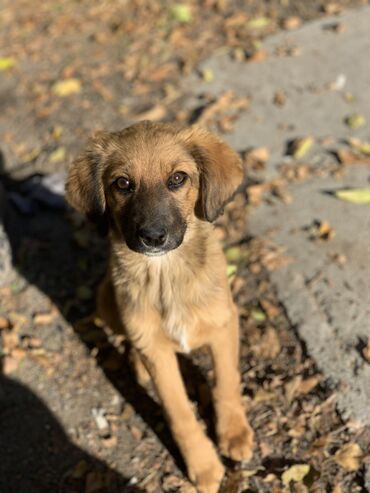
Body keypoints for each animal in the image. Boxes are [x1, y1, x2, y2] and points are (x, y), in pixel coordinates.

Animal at [65, 120, 253, 492]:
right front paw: (203, 464)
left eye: (178, 178)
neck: (166, 275)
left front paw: (234, 433)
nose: (153, 237)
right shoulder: (158, 352)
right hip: (106, 298)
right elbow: (179, 412)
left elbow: (226, 382)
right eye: (122, 183)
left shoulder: (224, 325)